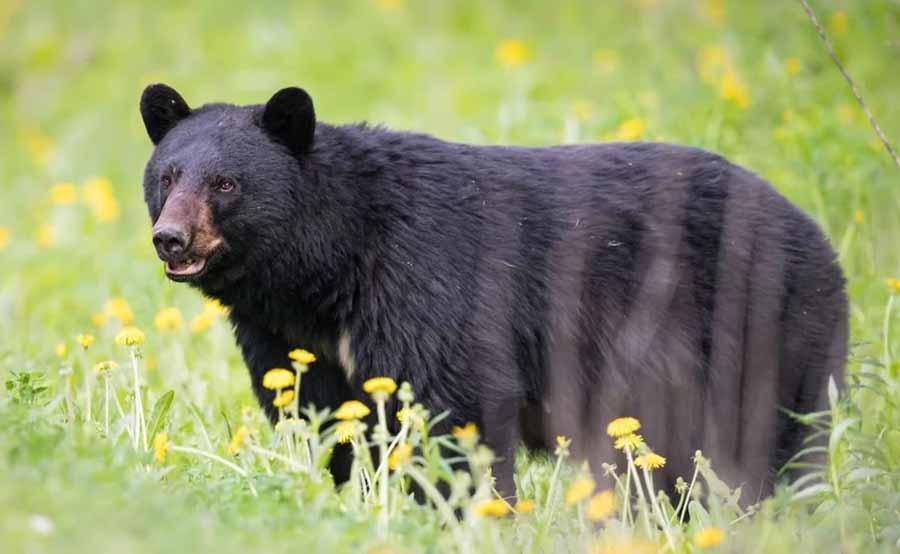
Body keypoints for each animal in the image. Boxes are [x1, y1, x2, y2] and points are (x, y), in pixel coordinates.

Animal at [137, 83, 848, 500]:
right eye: (167, 176)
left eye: (225, 184)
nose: (170, 238)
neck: (327, 267)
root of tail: (817, 233)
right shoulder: (287, 335)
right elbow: (327, 415)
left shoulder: (425, 281)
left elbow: (455, 404)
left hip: (761, 327)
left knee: (766, 441)